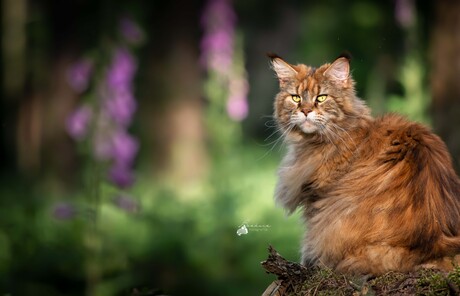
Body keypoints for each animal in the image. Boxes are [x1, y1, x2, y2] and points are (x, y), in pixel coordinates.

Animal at [268, 53, 460, 276]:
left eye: (321, 98)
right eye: (296, 98)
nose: (306, 110)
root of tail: (436, 241)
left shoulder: (318, 199)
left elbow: (309, 241)